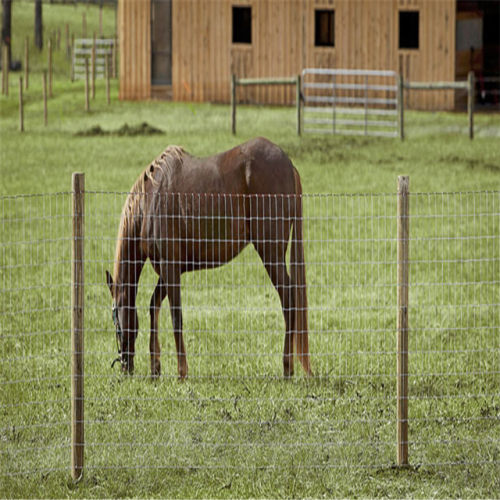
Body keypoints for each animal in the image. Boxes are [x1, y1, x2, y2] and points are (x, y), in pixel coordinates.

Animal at [106, 137, 310, 378]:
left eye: (114, 317)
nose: (125, 366)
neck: (149, 202)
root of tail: (288, 164)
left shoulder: (170, 267)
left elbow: (176, 317)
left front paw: (181, 372)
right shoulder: (169, 269)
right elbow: (153, 306)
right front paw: (155, 368)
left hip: (271, 253)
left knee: (288, 300)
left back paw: (287, 367)